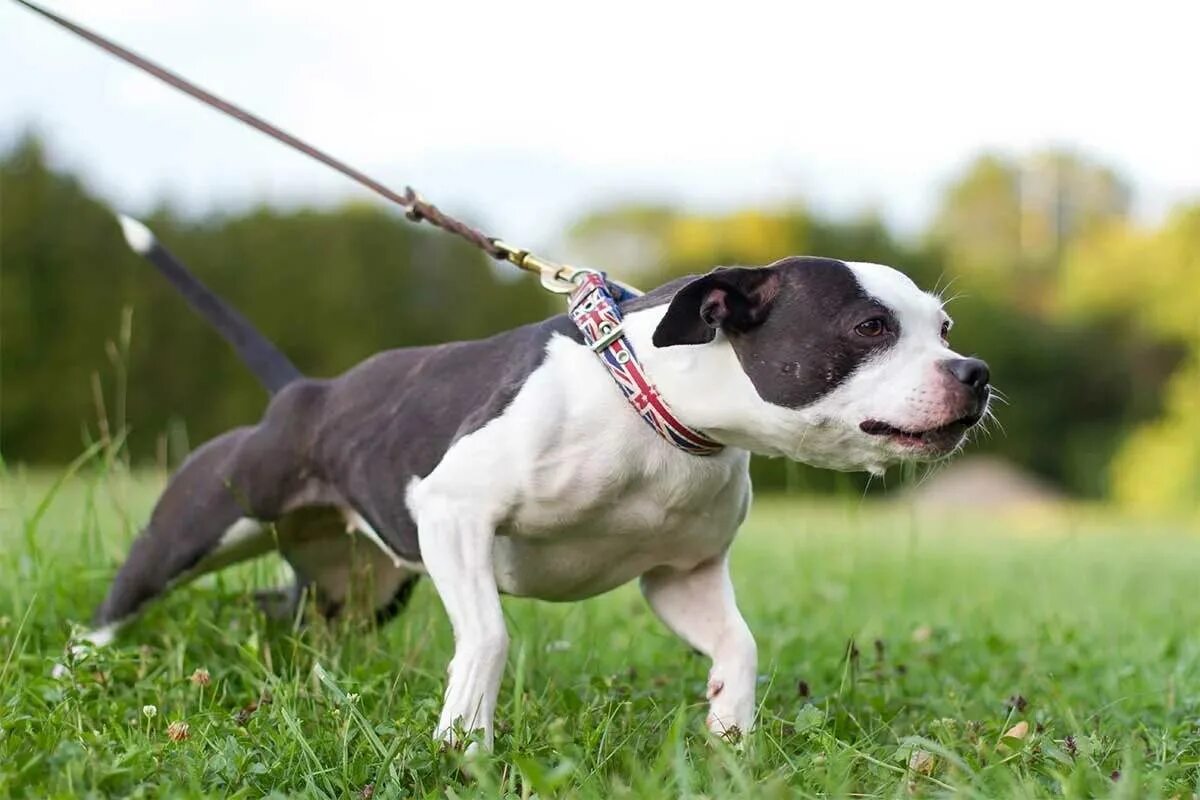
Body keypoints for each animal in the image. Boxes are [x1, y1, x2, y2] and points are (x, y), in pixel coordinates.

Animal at [82, 214, 984, 753]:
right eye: (869, 327)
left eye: (944, 328)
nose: (973, 372)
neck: (645, 399)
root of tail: (302, 392)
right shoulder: (454, 515)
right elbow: (487, 636)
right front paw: (463, 743)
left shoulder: (682, 576)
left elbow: (741, 645)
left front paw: (730, 731)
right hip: (200, 524)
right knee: (120, 599)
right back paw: (79, 670)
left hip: (357, 587)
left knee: (283, 606)